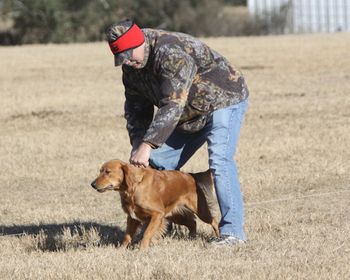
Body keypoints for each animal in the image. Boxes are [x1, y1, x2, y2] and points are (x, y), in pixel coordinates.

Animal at [90, 160, 219, 249]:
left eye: (107, 172)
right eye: (100, 171)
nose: (92, 184)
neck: (135, 186)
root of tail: (192, 176)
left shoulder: (157, 214)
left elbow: (146, 233)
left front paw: (142, 249)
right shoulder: (132, 217)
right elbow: (127, 236)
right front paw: (121, 249)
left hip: (200, 210)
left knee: (213, 220)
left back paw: (218, 236)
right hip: (175, 215)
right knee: (193, 223)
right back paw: (192, 238)